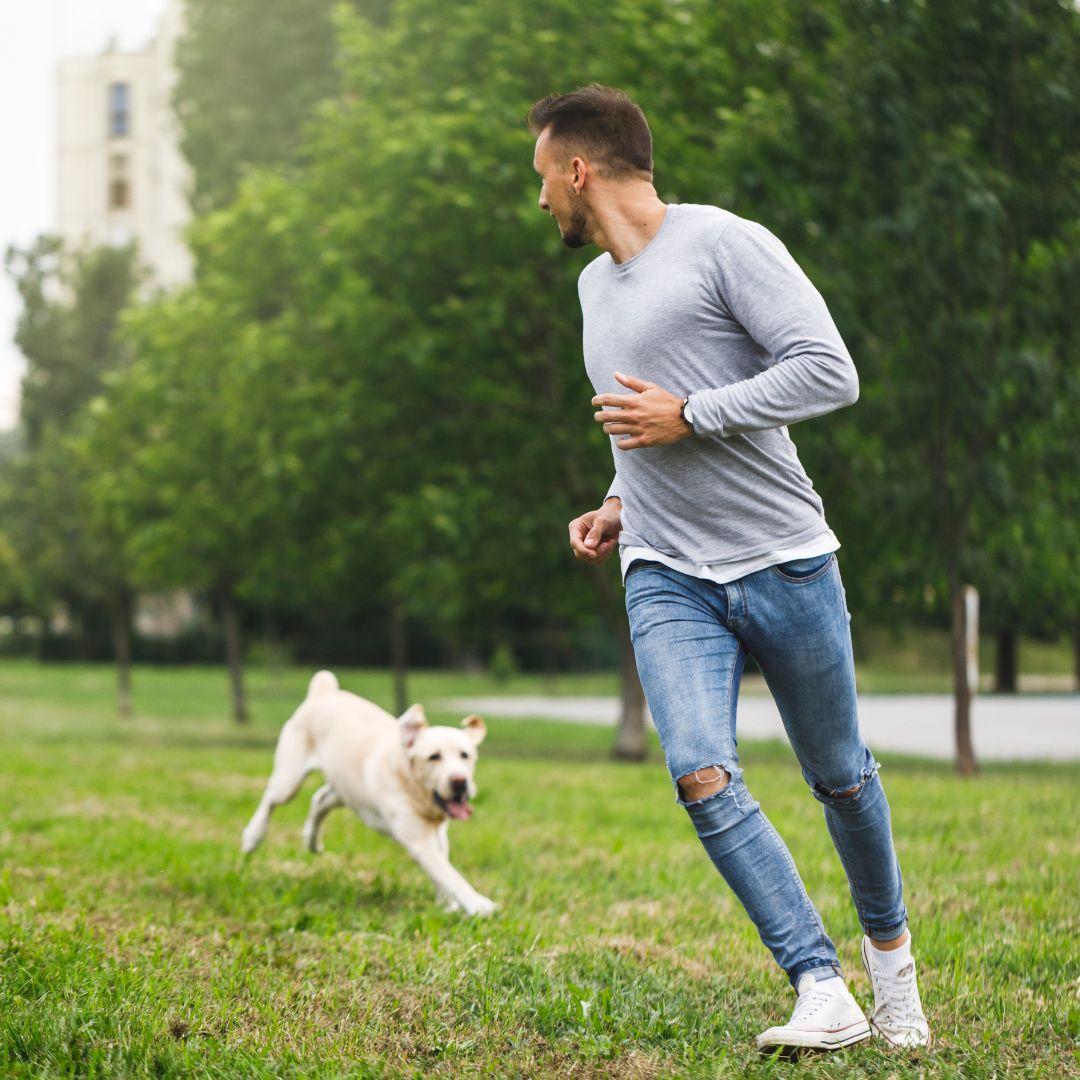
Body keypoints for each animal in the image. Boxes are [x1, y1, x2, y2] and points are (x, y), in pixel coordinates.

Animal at [238, 669, 494, 915]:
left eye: (465, 755)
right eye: (434, 757)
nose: (460, 782)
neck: (412, 786)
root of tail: (323, 691)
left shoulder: (437, 834)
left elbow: (442, 870)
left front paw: (447, 904)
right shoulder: (417, 840)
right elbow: (448, 873)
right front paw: (478, 904)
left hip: (346, 789)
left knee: (320, 799)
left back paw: (311, 840)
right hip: (290, 779)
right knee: (270, 799)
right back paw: (252, 836)